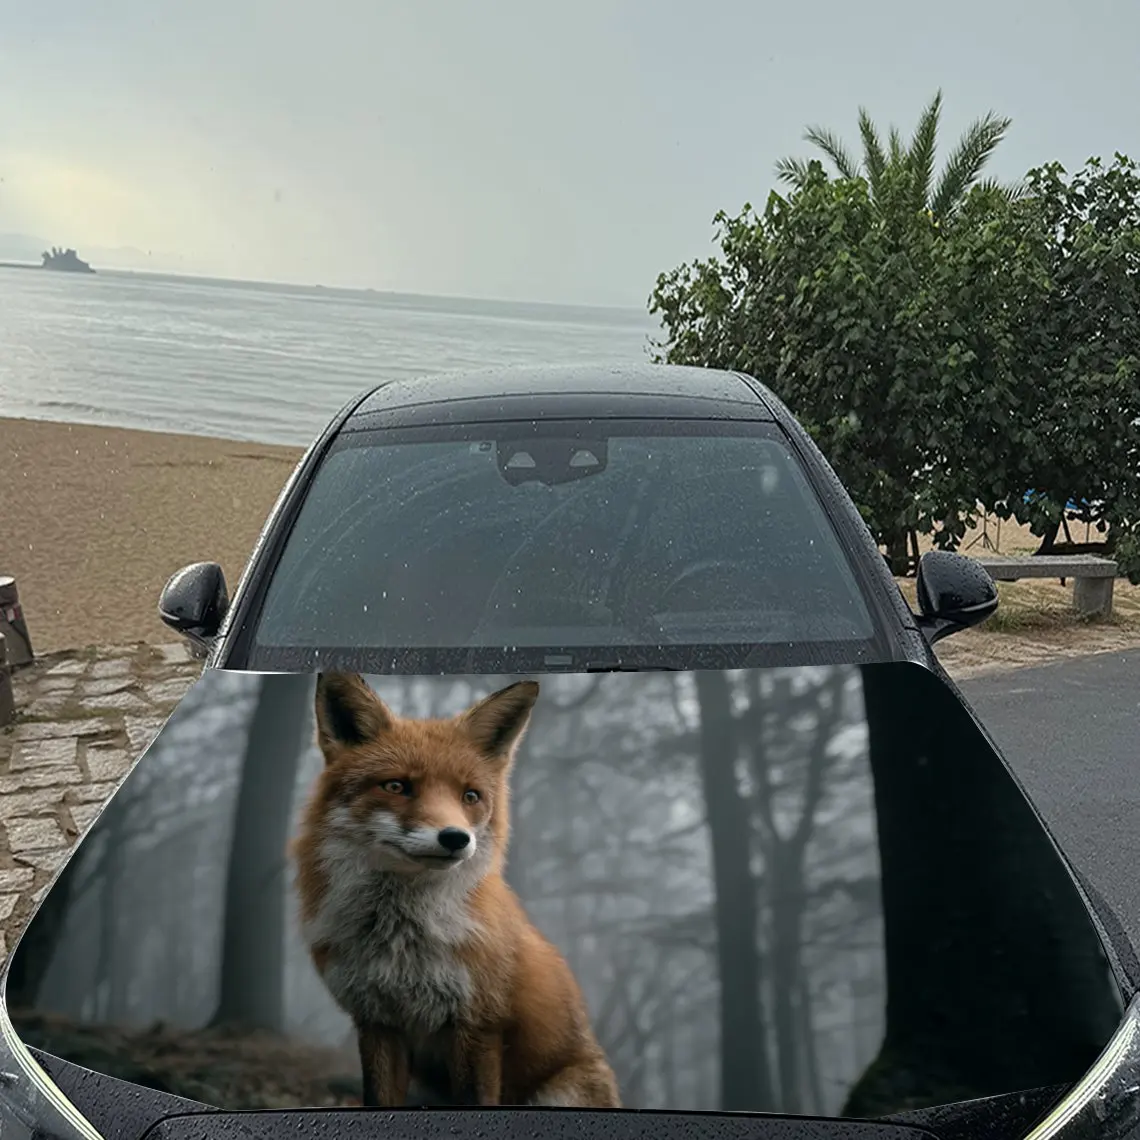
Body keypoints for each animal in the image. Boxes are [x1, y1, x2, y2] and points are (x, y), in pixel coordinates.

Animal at [293, 672, 621, 1109]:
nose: (455, 838)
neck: (403, 942)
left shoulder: (478, 1025)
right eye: (396, 786)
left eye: (470, 796)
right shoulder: (377, 1022)